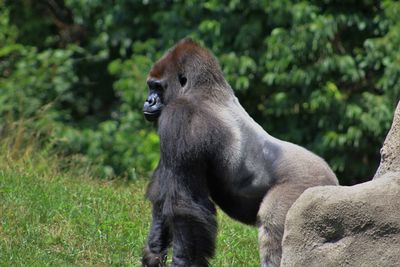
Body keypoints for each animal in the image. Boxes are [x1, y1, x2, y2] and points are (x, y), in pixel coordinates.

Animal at [142, 38, 340, 267]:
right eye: (150, 86)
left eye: (157, 87)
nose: (148, 101)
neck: (200, 90)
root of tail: (334, 179)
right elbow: (162, 199)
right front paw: (153, 255)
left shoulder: (180, 117)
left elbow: (184, 205)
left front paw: (182, 262)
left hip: (305, 185)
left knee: (272, 224)